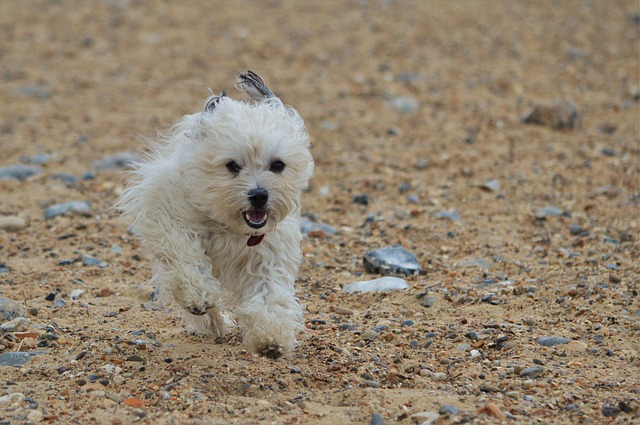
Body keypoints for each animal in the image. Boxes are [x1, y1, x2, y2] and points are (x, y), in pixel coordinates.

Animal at [118, 71, 316, 356]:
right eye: (232, 165)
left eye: (278, 165)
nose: (259, 195)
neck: (229, 224)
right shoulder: (170, 216)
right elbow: (186, 258)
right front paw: (197, 296)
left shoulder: (269, 254)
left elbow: (269, 293)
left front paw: (271, 337)